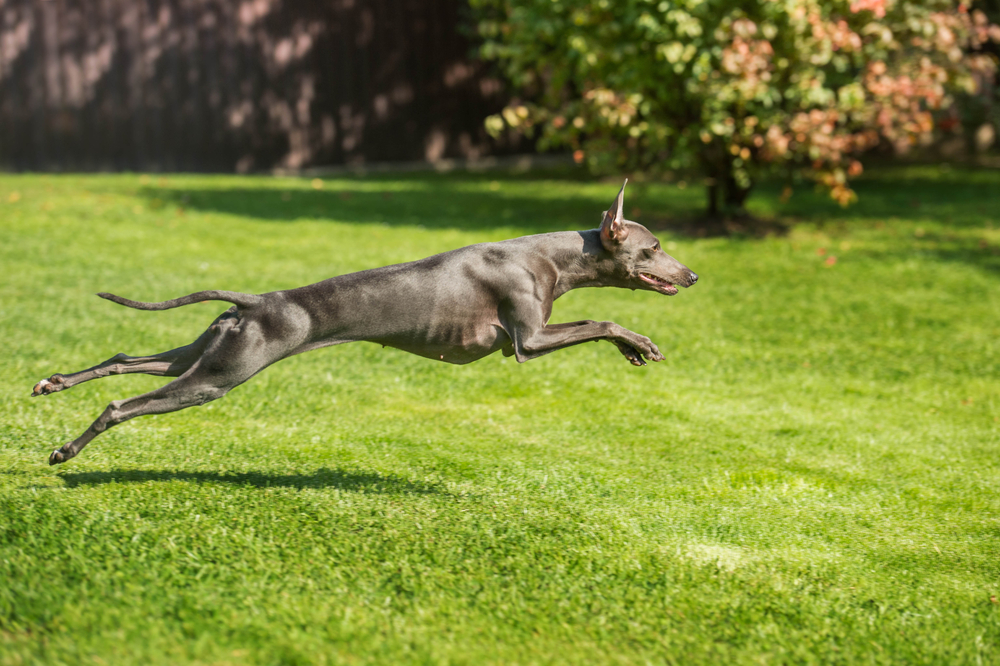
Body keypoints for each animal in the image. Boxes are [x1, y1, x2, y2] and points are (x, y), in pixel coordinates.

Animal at [37, 179, 696, 464]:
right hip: (216, 378)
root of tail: (256, 301)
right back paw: (65, 452)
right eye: (654, 246)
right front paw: (638, 343)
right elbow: (602, 319)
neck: (552, 256)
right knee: (122, 405)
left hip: (205, 353)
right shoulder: (527, 341)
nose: (691, 277)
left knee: (123, 359)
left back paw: (52, 383)